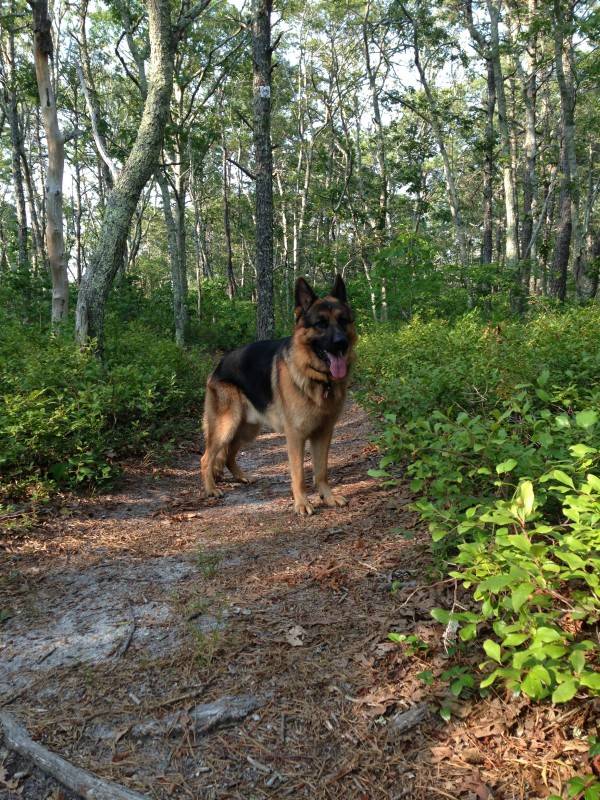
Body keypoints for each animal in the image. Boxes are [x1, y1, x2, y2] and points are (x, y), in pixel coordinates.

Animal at [202, 276, 356, 512]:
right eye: (320, 324)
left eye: (343, 321)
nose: (341, 343)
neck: (317, 377)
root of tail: (218, 366)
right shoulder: (295, 436)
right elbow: (299, 474)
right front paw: (302, 503)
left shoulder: (323, 433)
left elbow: (321, 471)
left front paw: (328, 497)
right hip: (226, 425)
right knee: (206, 458)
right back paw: (211, 489)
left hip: (247, 430)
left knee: (228, 455)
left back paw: (242, 477)